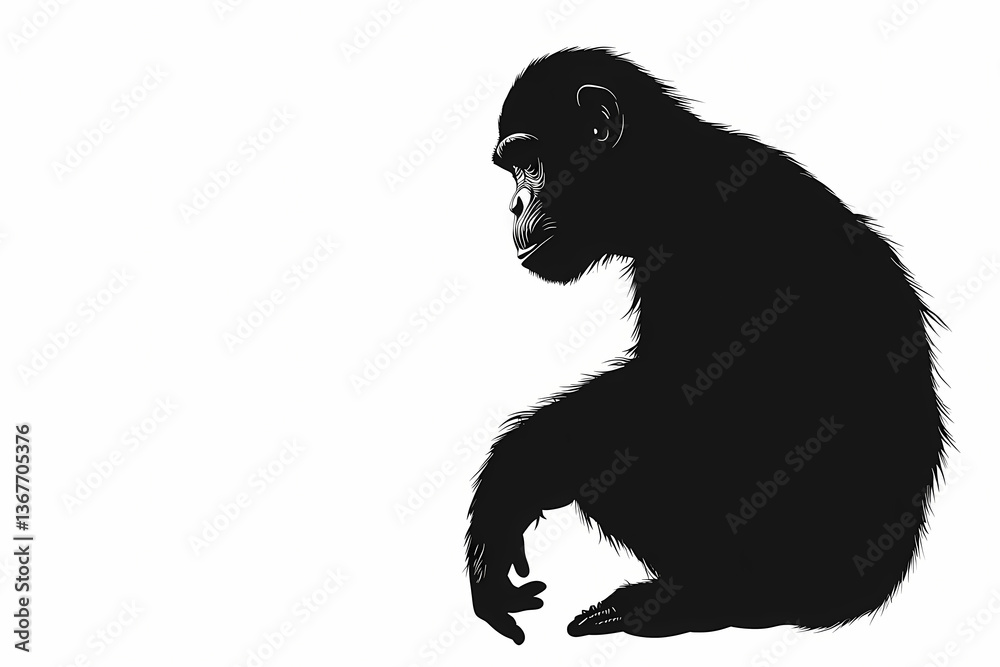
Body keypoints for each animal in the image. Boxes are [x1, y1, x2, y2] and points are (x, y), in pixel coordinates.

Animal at [464, 48, 951, 644]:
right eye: (512, 168)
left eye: (530, 162)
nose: (514, 204)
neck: (662, 181)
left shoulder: (701, 247)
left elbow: (682, 393)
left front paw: (506, 487)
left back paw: (700, 601)